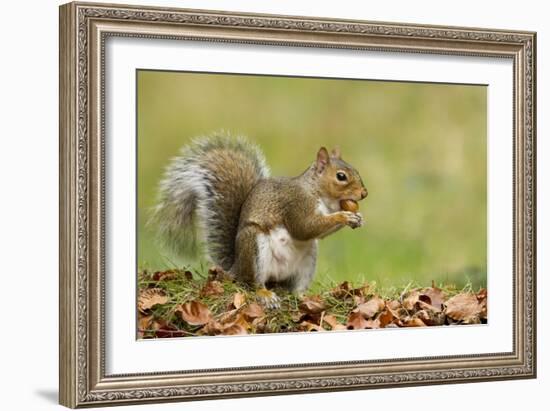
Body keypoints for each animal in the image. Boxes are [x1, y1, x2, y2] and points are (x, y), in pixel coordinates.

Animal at [151, 134, 368, 308]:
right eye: (341, 176)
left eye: (356, 170)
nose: (364, 193)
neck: (317, 193)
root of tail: (236, 268)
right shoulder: (296, 204)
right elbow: (305, 228)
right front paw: (345, 216)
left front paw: (357, 218)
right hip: (254, 247)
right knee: (252, 283)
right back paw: (265, 294)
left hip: (308, 260)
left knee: (294, 288)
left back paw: (303, 296)